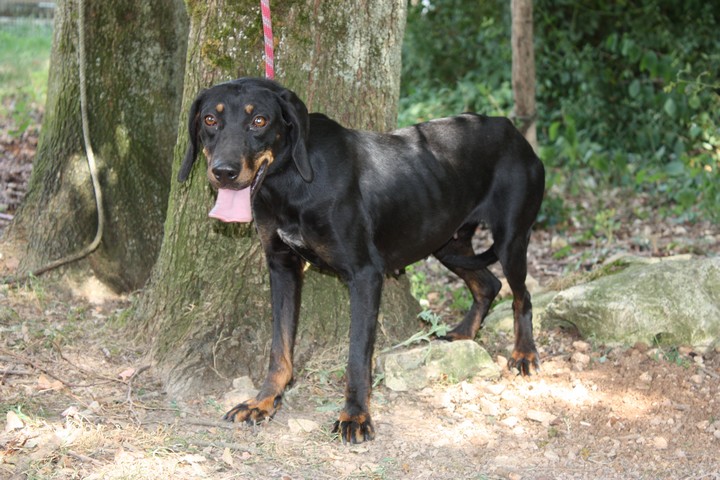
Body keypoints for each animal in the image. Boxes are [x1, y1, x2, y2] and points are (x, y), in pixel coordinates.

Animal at [180, 78, 544, 442]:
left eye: (259, 121)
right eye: (210, 119)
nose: (223, 172)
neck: (289, 182)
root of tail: (510, 128)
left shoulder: (365, 274)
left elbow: (356, 356)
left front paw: (355, 416)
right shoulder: (282, 267)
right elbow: (278, 348)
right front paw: (264, 401)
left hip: (510, 239)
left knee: (521, 296)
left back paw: (524, 354)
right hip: (446, 240)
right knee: (488, 284)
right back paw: (463, 334)